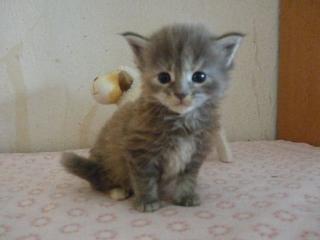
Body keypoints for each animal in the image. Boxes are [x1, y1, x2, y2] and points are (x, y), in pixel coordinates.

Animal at [62, 23, 242, 212]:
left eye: (199, 76)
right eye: (164, 77)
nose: (181, 94)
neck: (181, 121)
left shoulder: (195, 153)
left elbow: (187, 178)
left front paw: (185, 196)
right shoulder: (139, 151)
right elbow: (144, 179)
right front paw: (147, 201)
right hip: (107, 161)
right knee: (99, 182)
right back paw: (118, 190)